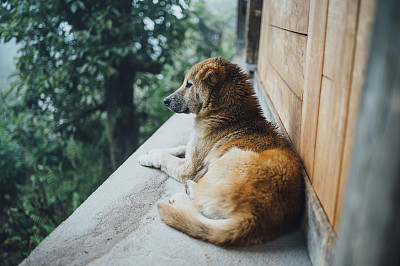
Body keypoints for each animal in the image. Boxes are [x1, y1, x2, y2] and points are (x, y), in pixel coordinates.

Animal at [139, 57, 304, 246]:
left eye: (189, 85)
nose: (165, 100)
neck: (227, 114)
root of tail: (255, 216)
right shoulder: (193, 149)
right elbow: (178, 147)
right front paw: (151, 151)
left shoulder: (189, 169)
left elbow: (165, 158)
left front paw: (146, 158)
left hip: (231, 156)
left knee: (199, 202)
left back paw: (183, 195)